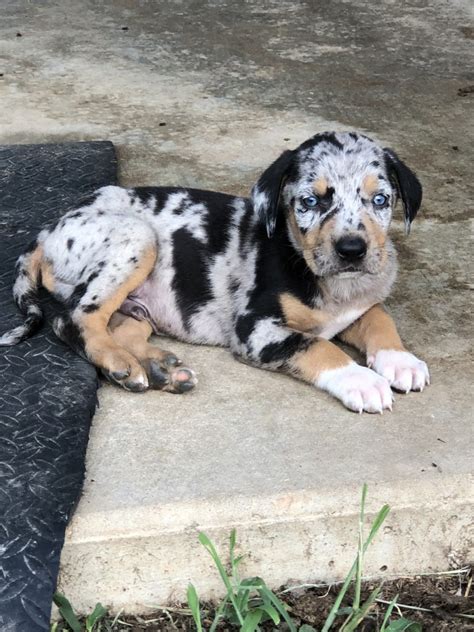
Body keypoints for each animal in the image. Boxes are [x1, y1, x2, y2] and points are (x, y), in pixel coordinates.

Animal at [0, 131, 430, 412]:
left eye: (380, 200)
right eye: (310, 201)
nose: (352, 250)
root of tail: (48, 231)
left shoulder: (357, 306)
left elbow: (379, 317)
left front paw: (400, 359)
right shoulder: (255, 329)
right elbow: (317, 345)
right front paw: (362, 380)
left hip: (137, 306)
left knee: (118, 328)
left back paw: (159, 370)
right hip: (137, 238)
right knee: (73, 320)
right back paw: (123, 365)